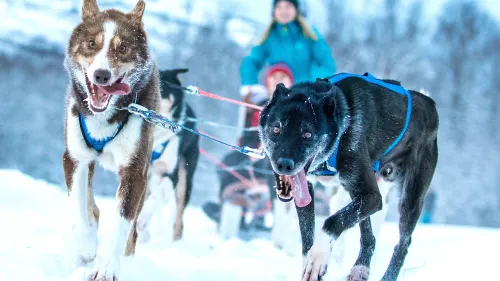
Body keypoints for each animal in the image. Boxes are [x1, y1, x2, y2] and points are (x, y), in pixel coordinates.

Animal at [63, 1, 158, 278]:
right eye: (91, 44)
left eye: (123, 48)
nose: (102, 75)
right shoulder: (74, 158)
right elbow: (79, 209)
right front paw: (86, 246)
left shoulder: (134, 172)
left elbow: (121, 222)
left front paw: (106, 268)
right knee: (91, 206)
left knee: (132, 232)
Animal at [260, 72, 440, 280]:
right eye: (276, 128)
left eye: (307, 134)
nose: (284, 164)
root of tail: (430, 104)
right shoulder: (310, 190)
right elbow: (307, 237)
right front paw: (310, 264)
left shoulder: (373, 196)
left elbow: (332, 221)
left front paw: (318, 258)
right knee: (369, 236)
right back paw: (360, 268)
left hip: (409, 198)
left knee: (403, 243)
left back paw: (387, 275)